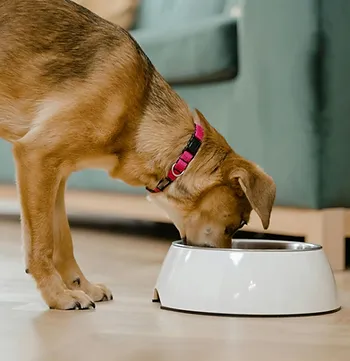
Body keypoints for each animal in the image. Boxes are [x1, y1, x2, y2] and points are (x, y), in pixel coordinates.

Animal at [0, 0, 274, 310]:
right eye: (239, 224)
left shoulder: (56, 174)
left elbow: (63, 240)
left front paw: (81, 286)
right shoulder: (36, 157)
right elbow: (42, 242)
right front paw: (58, 296)